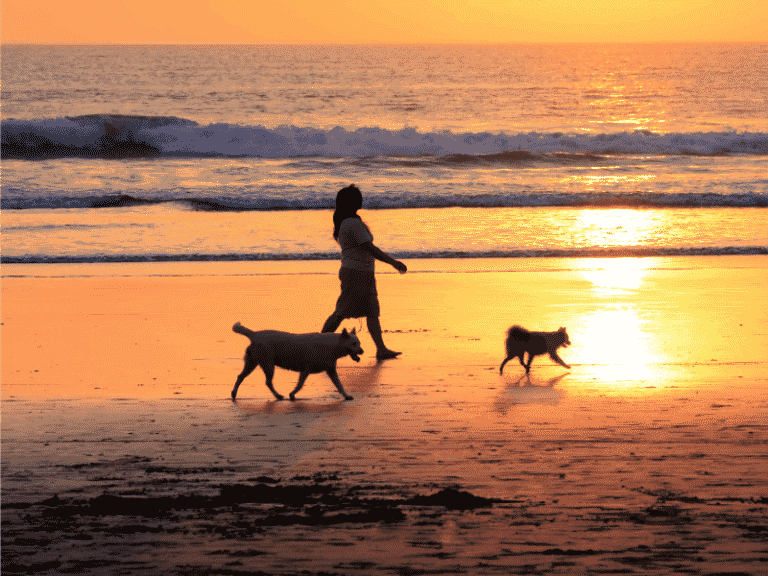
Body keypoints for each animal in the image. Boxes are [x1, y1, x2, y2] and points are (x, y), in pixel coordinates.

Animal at [231, 324, 364, 400]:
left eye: (359, 343)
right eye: (353, 344)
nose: (362, 351)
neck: (333, 346)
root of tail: (254, 334)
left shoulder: (331, 370)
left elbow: (339, 385)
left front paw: (346, 396)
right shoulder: (306, 370)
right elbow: (300, 384)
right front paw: (292, 394)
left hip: (252, 363)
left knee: (240, 376)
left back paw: (233, 393)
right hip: (268, 364)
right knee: (268, 382)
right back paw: (278, 395)